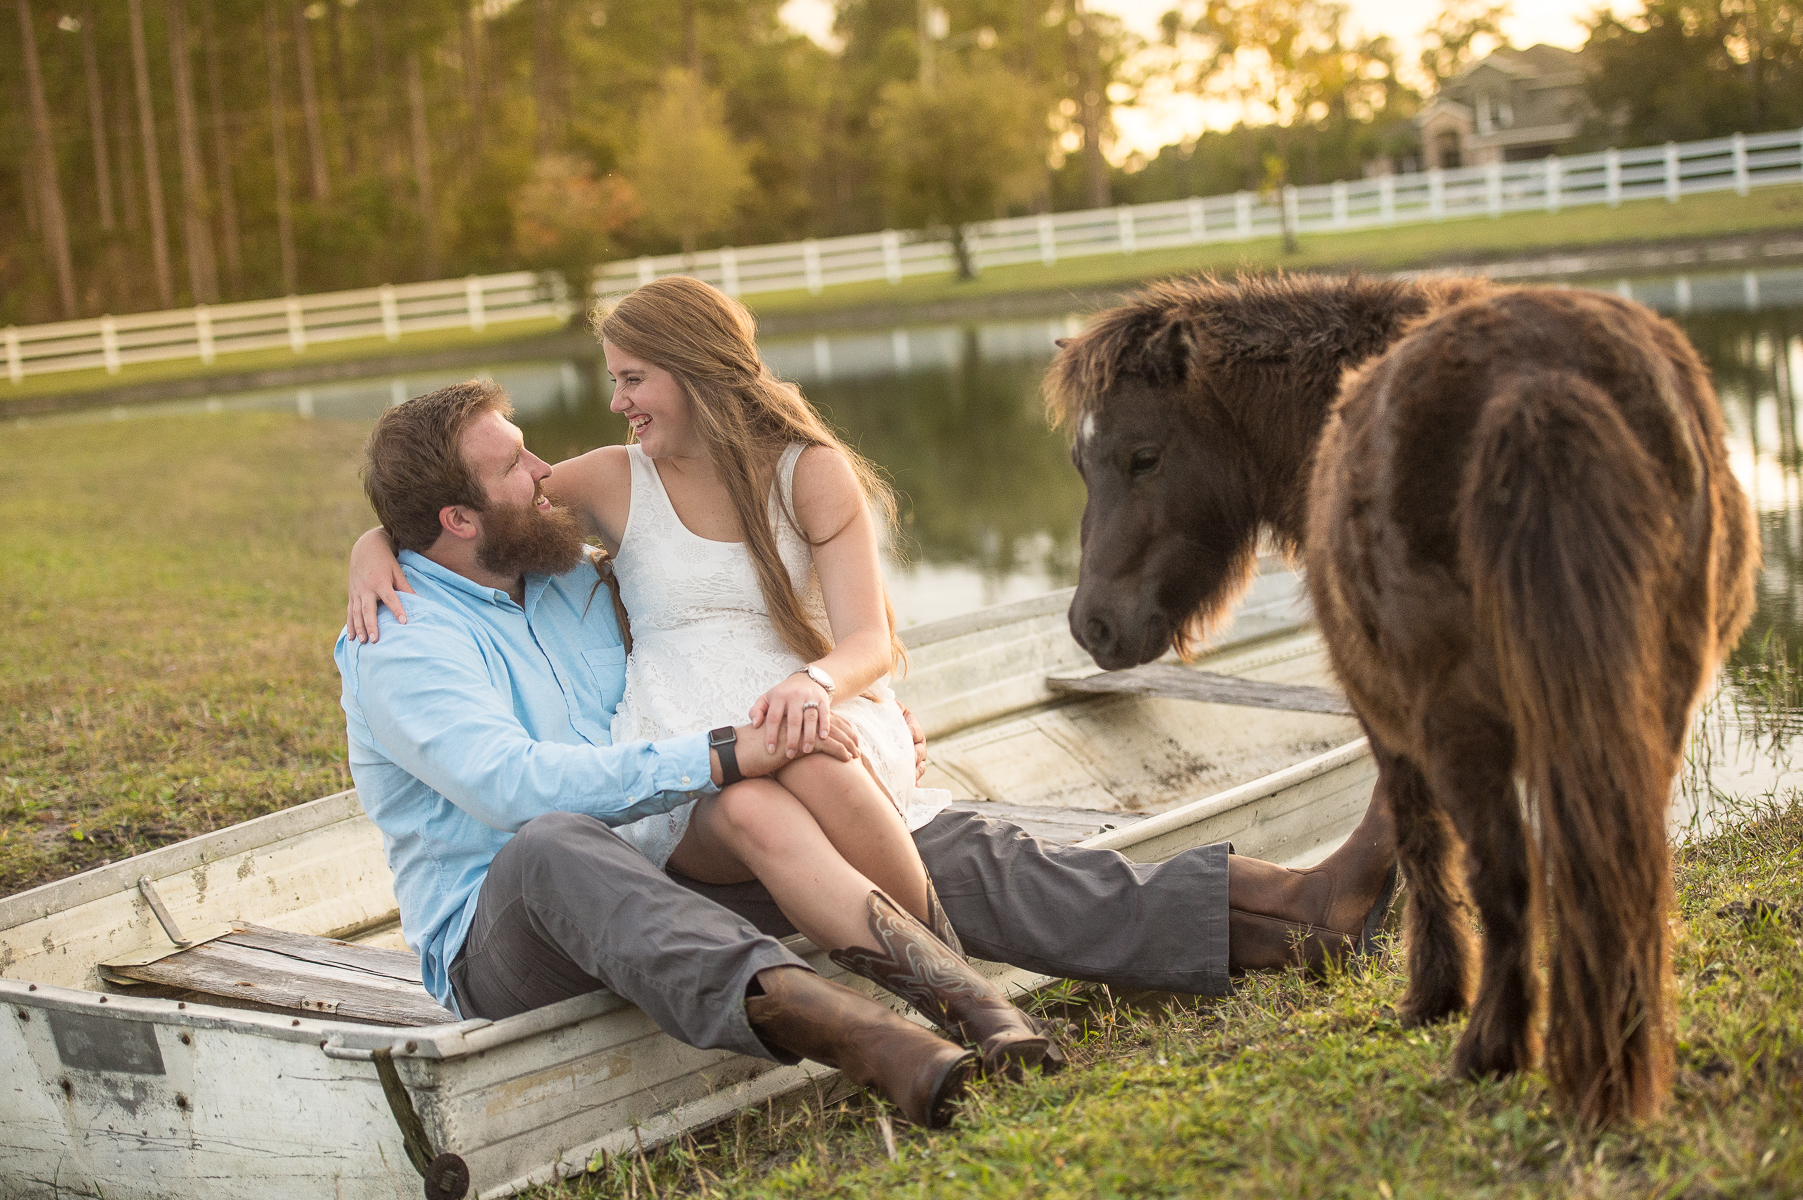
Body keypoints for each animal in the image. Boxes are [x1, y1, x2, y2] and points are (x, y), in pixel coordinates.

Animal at [1052, 273, 1752, 1124]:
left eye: (1142, 457)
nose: (1091, 624)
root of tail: (1536, 381)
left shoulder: (1385, 716)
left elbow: (1417, 839)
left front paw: (1431, 995)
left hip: (1468, 728)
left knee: (1505, 874)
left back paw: (1491, 1051)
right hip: (1648, 702)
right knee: (1618, 864)